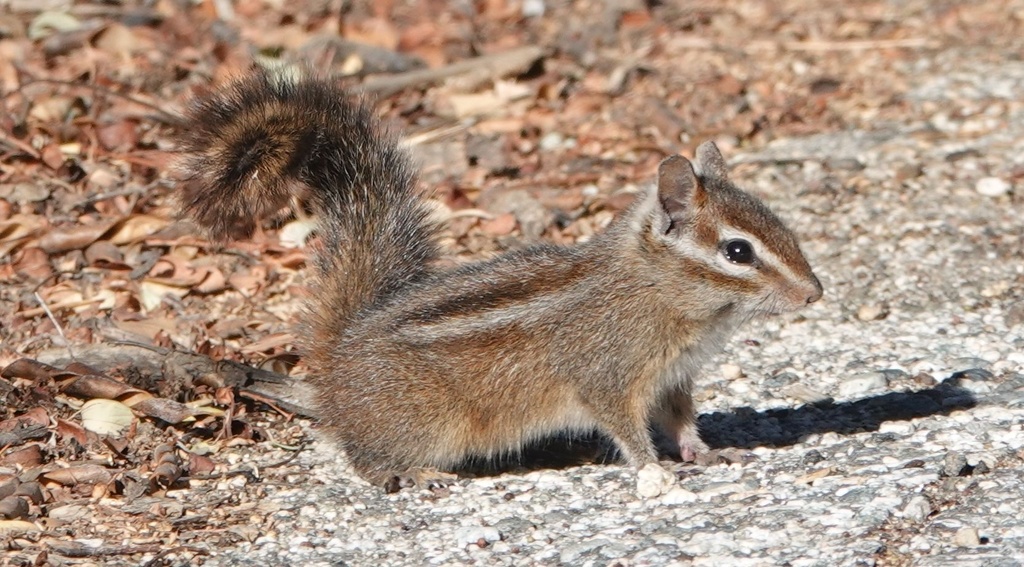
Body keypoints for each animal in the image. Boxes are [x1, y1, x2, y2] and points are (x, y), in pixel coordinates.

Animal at [176, 70, 823, 492]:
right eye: (737, 251)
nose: (814, 293)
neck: (655, 291)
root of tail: (339, 350)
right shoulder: (609, 379)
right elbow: (626, 428)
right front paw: (654, 471)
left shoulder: (673, 380)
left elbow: (683, 420)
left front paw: (704, 453)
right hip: (431, 421)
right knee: (363, 458)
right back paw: (413, 473)